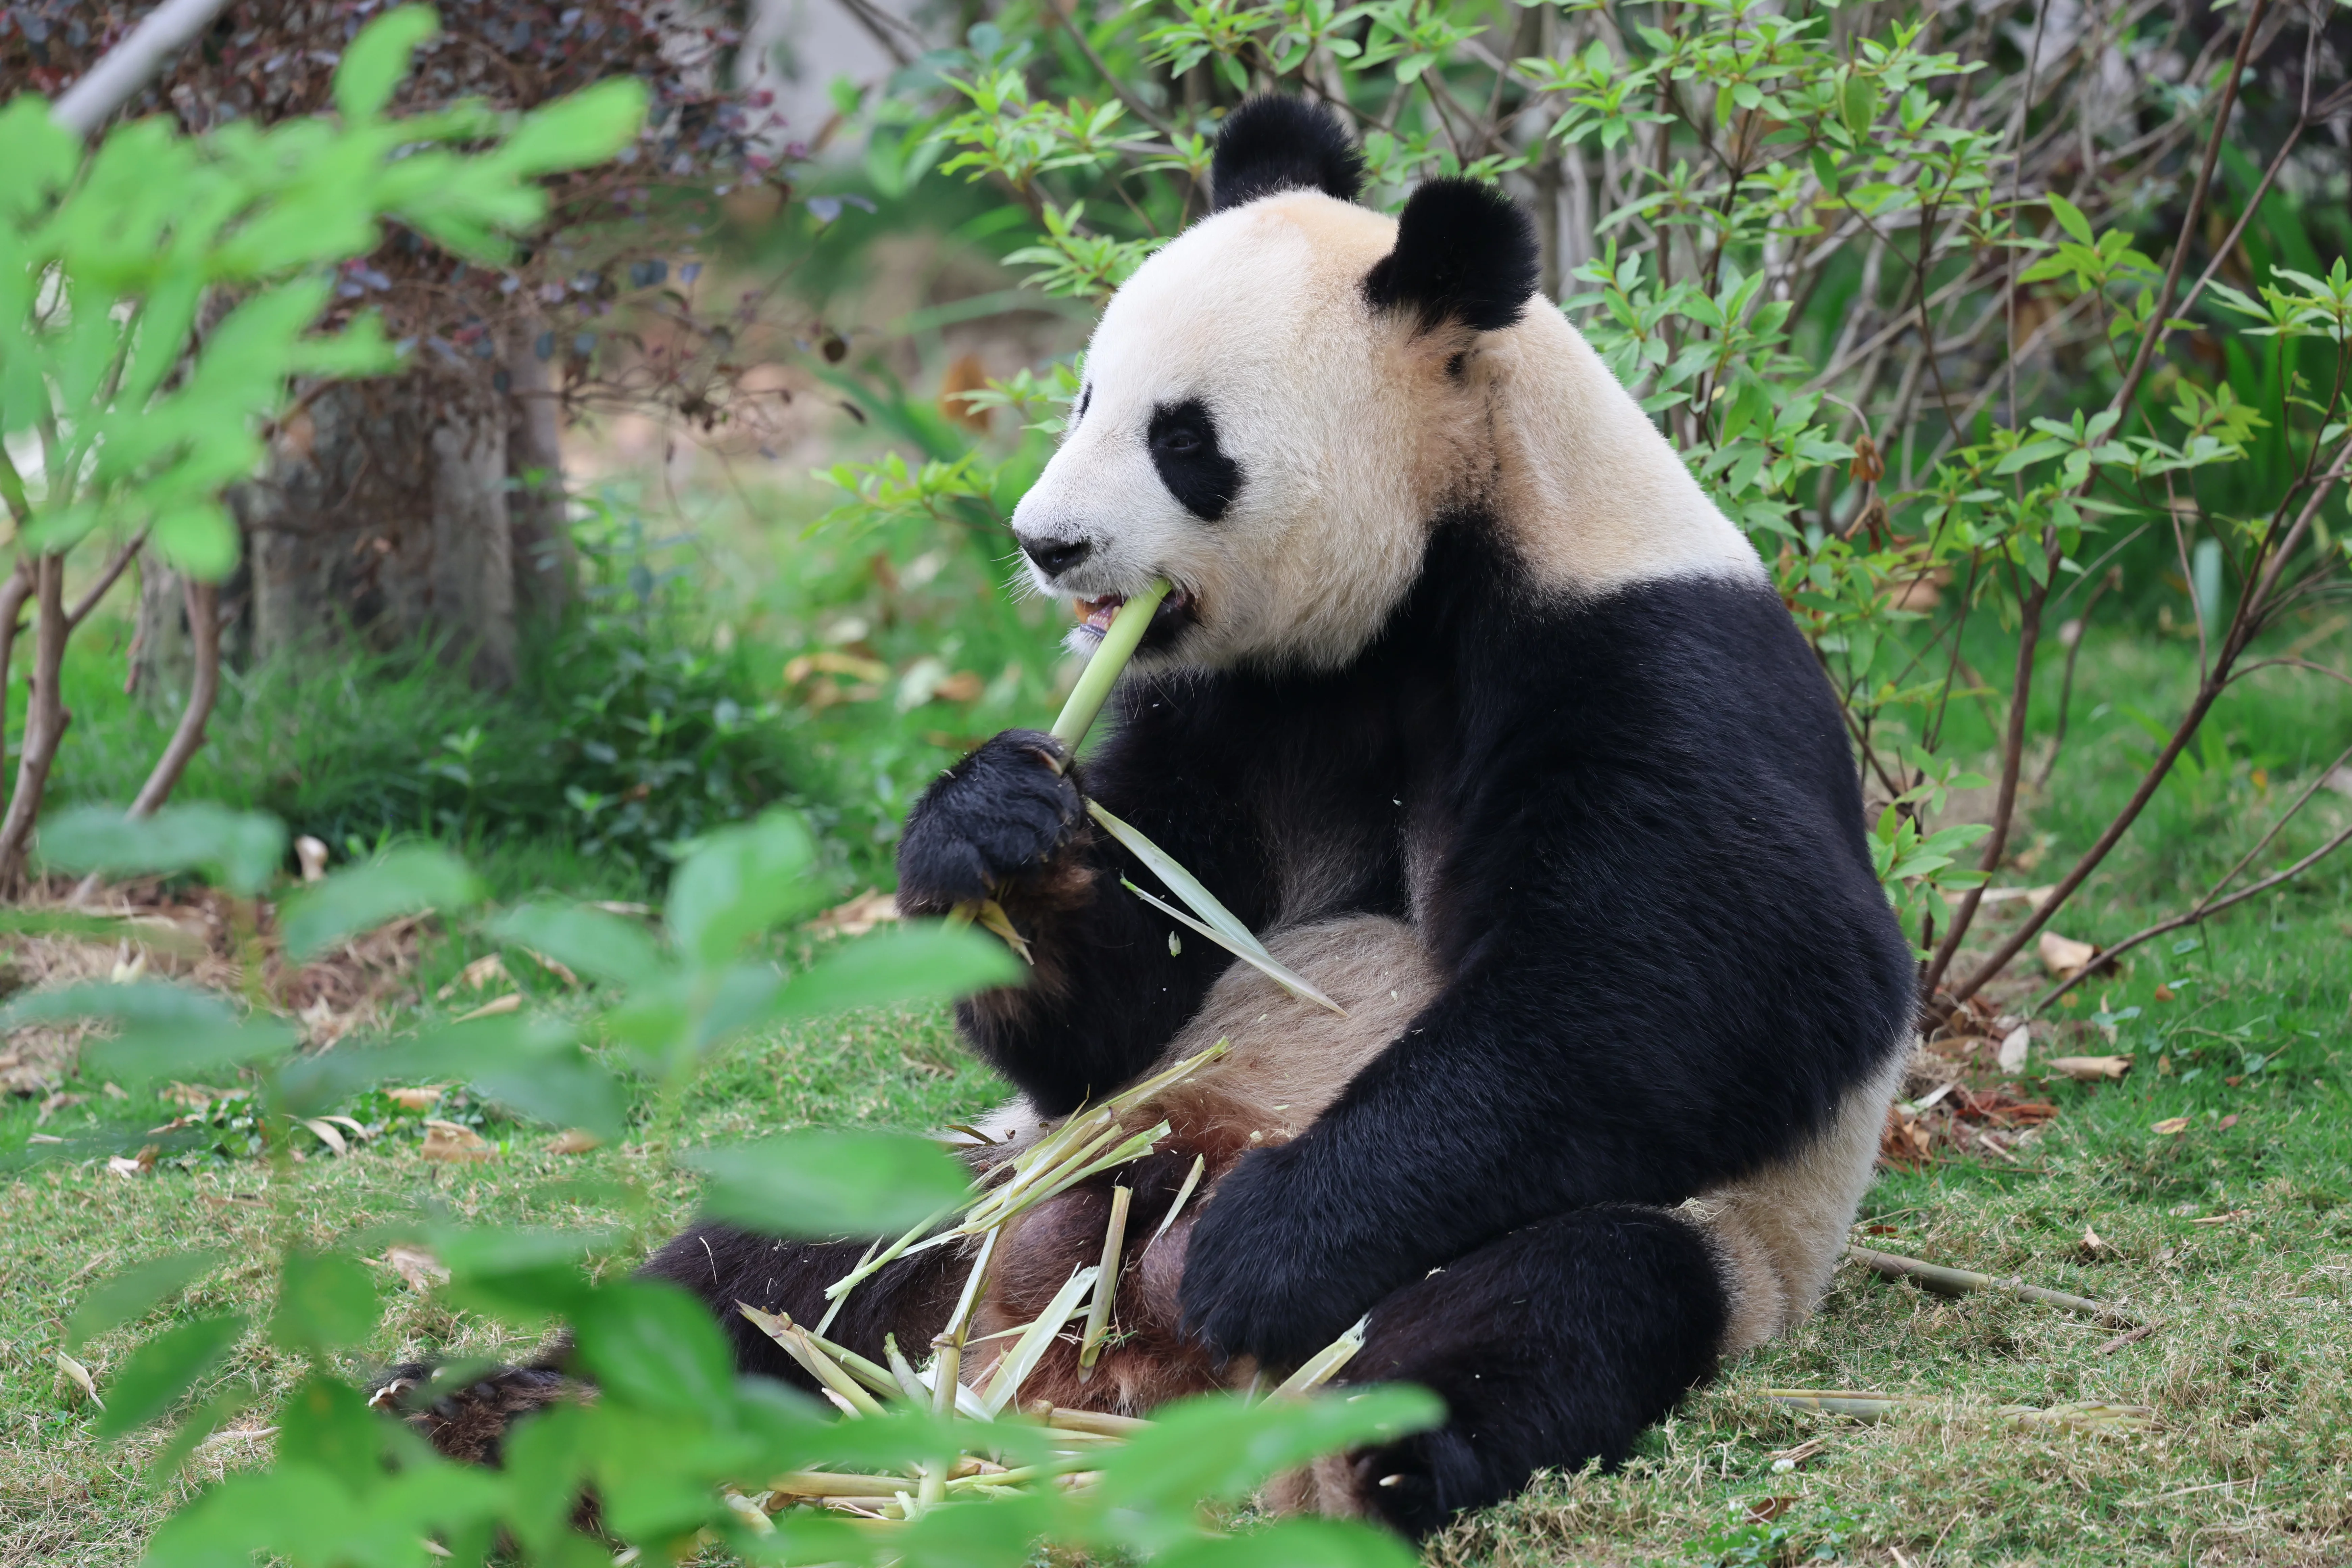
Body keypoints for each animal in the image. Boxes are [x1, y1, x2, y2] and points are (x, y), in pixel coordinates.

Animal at [389, 95, 1916, 1536]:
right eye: (1082, 399)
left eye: (1184, 440)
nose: (1046, 542)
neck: (1436, 548)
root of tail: (1076, 1373)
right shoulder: (1235, 704)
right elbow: (1130, 985)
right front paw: (1002, 832)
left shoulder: (1640, 653)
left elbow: (1725, 980)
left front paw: (1268, 1245)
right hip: (994, 1179)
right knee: (787, 1244)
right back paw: (507, 1413)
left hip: (1690, 1245)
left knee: (1557, 1302)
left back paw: (1357, 1444)